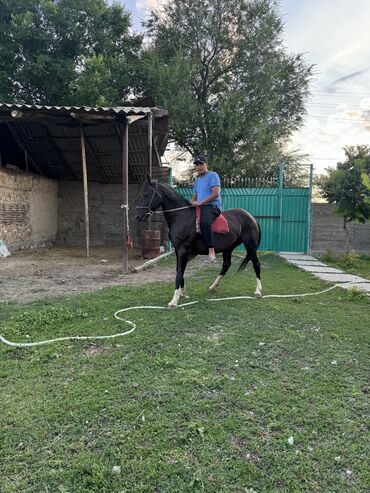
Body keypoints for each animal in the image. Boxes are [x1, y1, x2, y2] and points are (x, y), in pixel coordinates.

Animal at [137, 175, 264, 308]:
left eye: (146, 194)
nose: (138, 216)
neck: (181, 216)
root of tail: (251, 217)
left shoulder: (182, 250)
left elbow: (179, 274)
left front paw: (174, 300)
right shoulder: (178, 251)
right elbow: (179, 271)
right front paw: (183, 293)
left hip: (250, 246)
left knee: (256, 264)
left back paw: (258, 291)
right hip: (228, 248)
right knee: (226, 265)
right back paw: (213, 287)